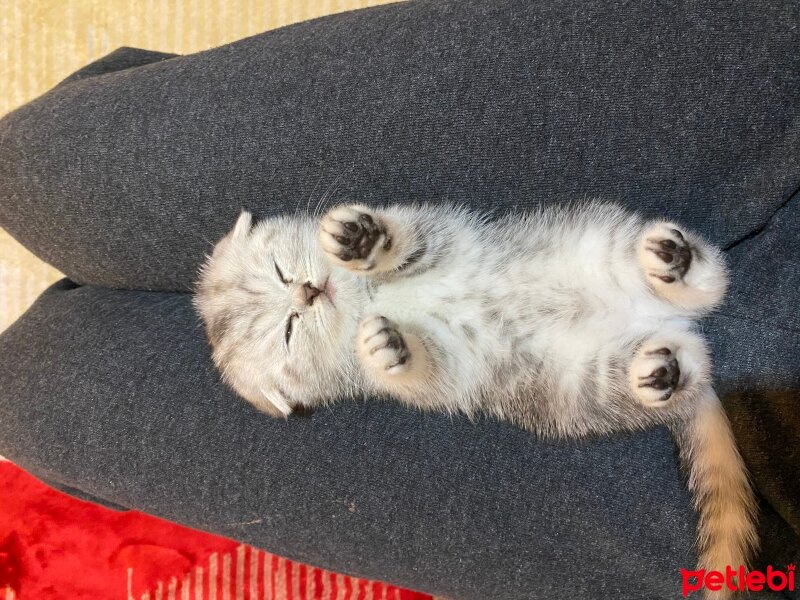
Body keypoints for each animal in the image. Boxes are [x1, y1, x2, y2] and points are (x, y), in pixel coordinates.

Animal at [194, 202, 756, 596]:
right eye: (288, 332)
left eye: (278, 270)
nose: (308, 292)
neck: (366, 301)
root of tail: (663, 325)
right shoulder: (450, 368)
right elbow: (422, 366)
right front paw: (387, 346)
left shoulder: (439, 234)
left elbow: (409, 240)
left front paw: (362, 239)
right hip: (578, 386)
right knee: (665, 359)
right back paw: (659, 371)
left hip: (602, 242)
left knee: (710, 284)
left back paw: (676, 263)